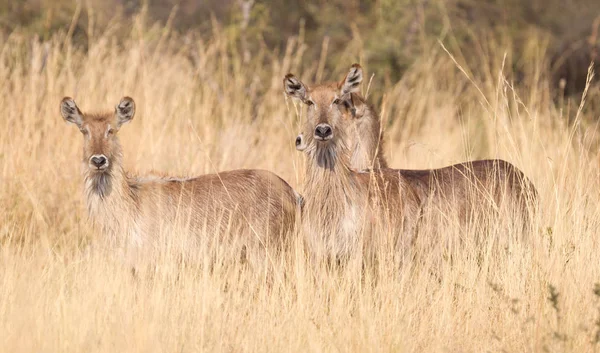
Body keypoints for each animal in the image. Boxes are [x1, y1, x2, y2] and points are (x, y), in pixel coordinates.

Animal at [61, 95, 300, 266]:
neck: (130, 201)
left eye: (112, 130)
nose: (98, 160)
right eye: (84, 131)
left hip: (266, 251)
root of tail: (293, 193)